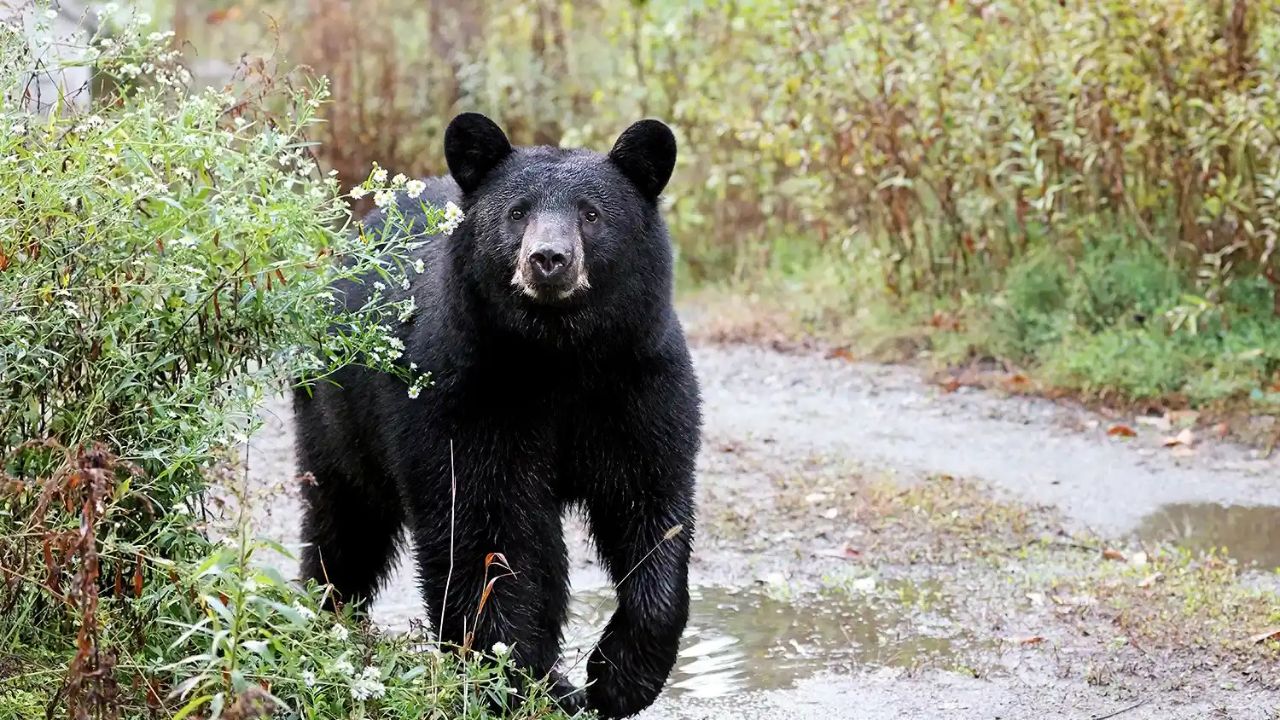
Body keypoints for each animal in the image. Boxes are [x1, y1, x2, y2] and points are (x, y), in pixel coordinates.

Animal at [293, 112, 701, 719]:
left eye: (592, 213)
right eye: (517, 212)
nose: (549, 260)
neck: (557, 356)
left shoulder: (639, 383)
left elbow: (651, 507)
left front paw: (619, 677)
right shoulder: (464, 390)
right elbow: (482, 524)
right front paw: (512, 677)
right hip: (335, 414)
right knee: (343, 522)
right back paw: (325, 612)